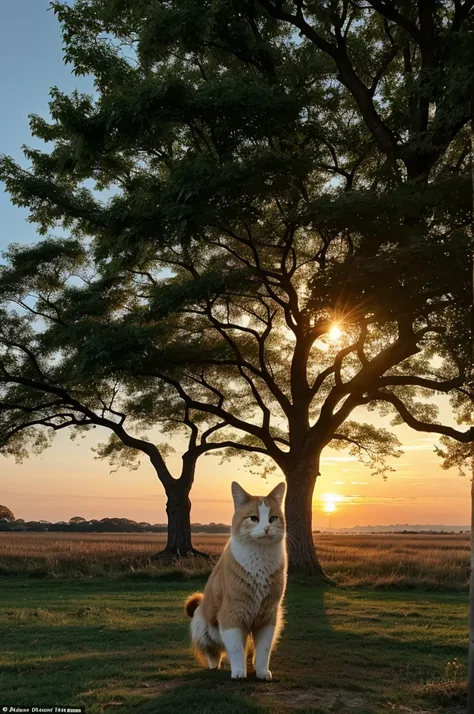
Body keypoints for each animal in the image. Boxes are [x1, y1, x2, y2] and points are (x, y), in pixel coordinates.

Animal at [186, 478, 288, 680]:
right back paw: (214, 666)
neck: (259, 559)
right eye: (254, 518)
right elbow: (234, 648)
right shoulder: (232, 613)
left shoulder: (269, 615)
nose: (266, 528)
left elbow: (264, 649)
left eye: (273, 518)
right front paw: (239, 672)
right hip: (202, 625)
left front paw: (262, 672)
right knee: (213, 651)